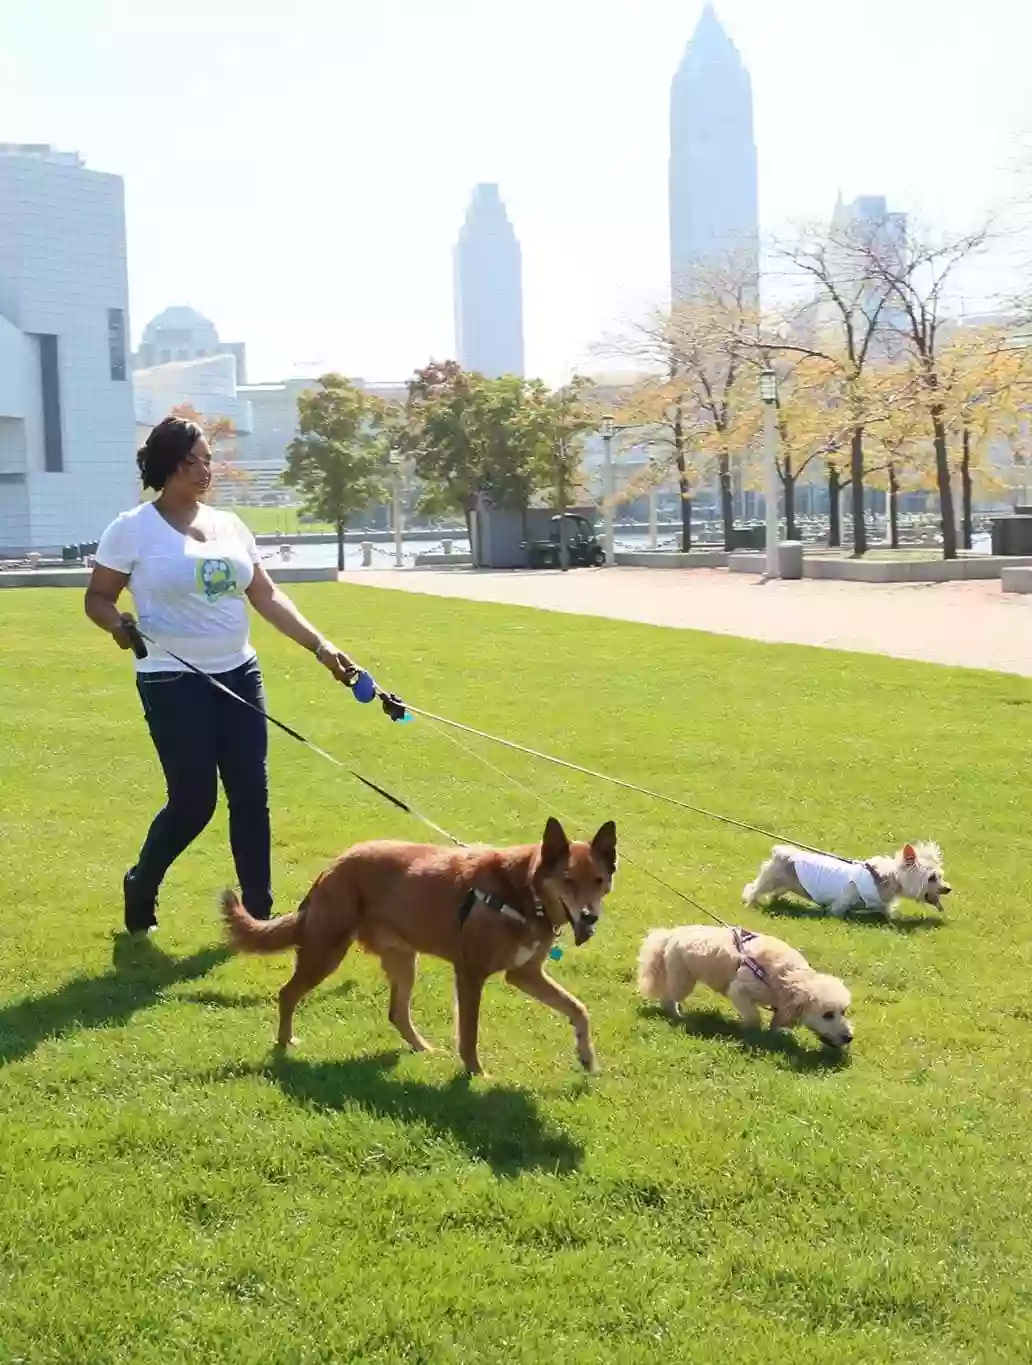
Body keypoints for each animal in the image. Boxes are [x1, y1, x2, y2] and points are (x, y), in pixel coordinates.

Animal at [221, 819, 617, 1075]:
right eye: (568, 880)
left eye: (599, 880)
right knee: (287, 994)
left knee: (397, 1013)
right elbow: (469, 1034)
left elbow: (579, 1009)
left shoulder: (524, 974)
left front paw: (587, 1057)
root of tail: (331, 868)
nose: (590, 916)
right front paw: (477, 1075)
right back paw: (285, 1042)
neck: (522, 891)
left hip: (402, 961)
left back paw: (421, 1048)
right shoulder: (470, 973)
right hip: (325, 952)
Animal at [636, 922, 857, 1048]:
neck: (786, 976)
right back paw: (677, 1015)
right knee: (668, 998)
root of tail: (670, 934)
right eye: (827, 1015)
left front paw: (776, 1033)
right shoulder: (740, 990)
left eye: (844, 1011)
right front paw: (752, 1032)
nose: (848, 1037)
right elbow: (754, 1016)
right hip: (683, 978)